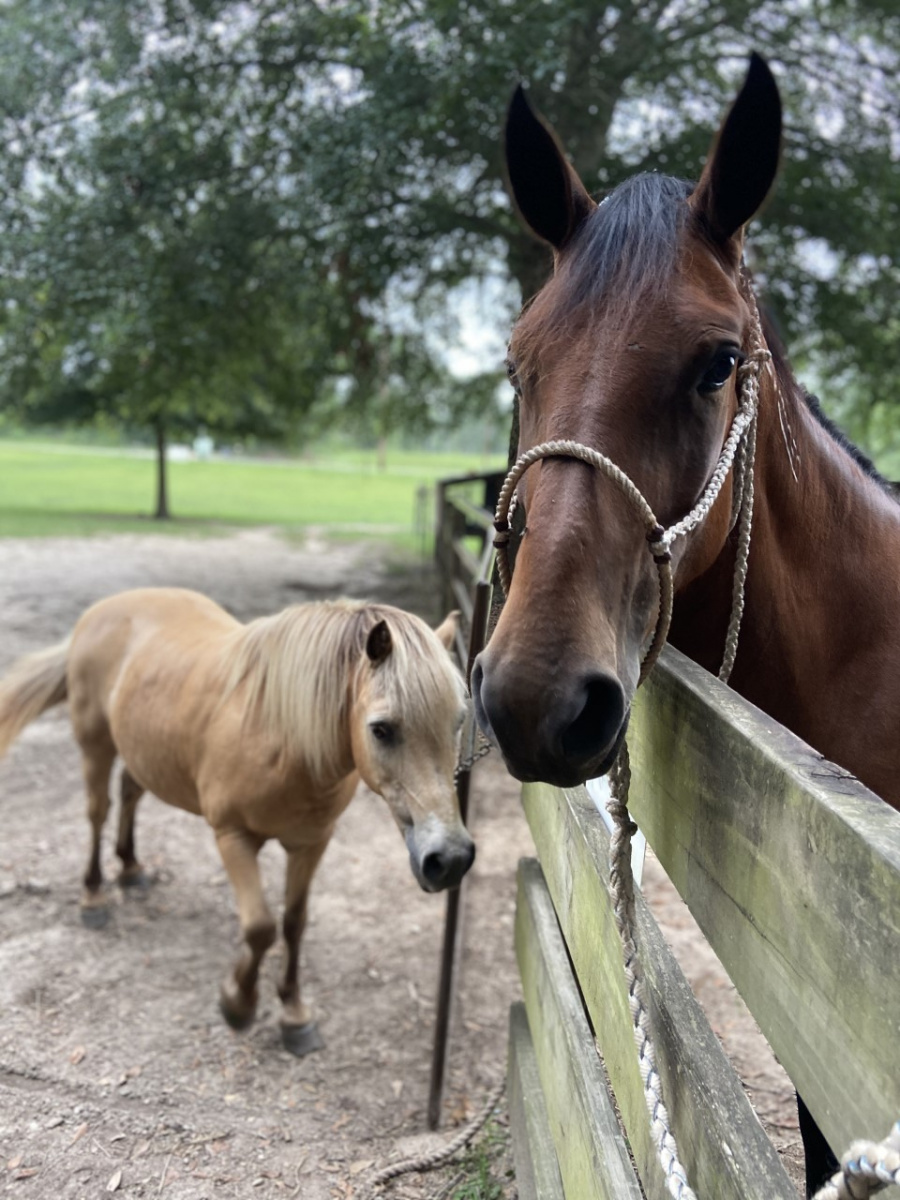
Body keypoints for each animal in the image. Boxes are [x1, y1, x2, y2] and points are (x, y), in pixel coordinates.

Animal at [0, 588, 475, 1051]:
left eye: (460, 721)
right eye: (381, 729)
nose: (449, 858)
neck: (281, 734)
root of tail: (100, 611)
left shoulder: (311, 843)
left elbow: (294, 924)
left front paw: (294, 1014)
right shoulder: (233, 836)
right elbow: (261, 928)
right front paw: (238, 1004)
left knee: (130, 793)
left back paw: (132, 869)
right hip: (95, 745)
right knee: (97, 812)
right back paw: (94, 898)